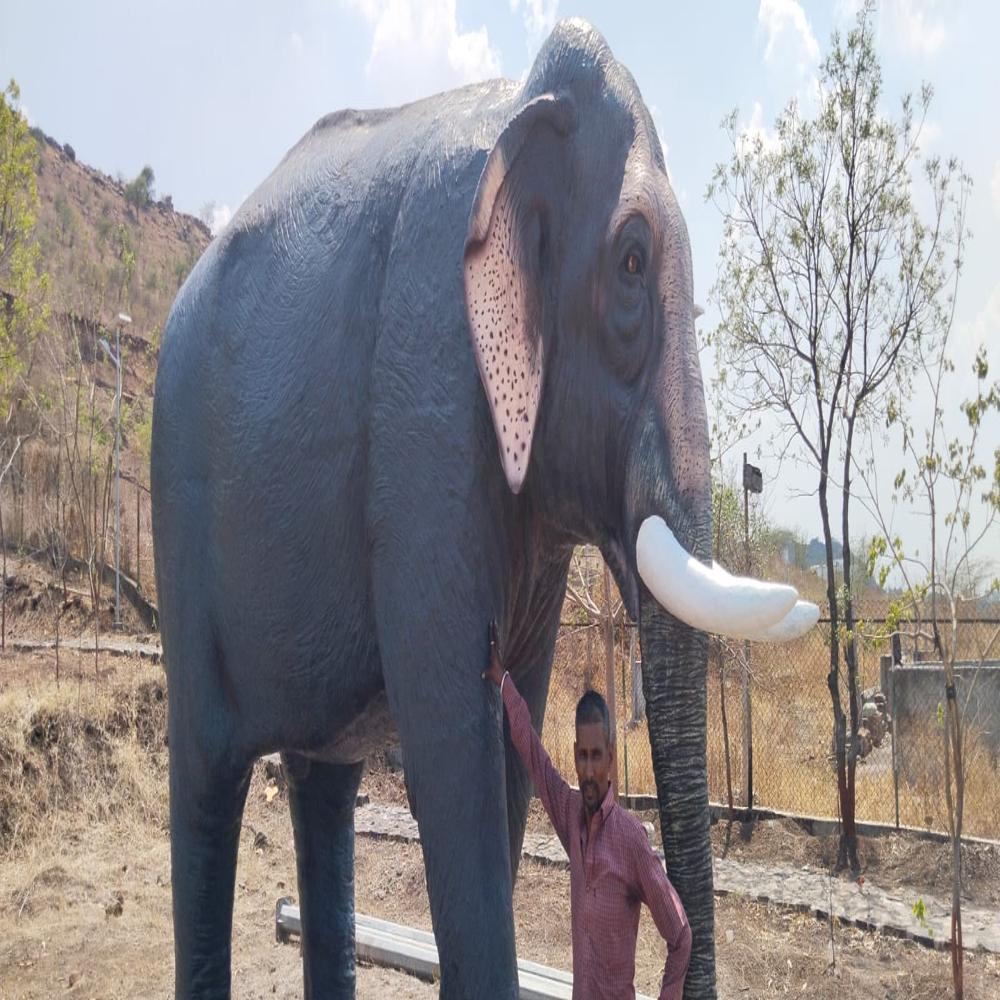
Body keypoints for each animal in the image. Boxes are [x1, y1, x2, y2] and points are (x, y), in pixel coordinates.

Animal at [151, 18, 816, 1000]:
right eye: (630, 262)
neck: (528, 110)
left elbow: (514, 733)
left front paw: (504, 679)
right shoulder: (424, 398)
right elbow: (449, 746)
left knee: (324, 782)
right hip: (181, 520)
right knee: (206, 783)